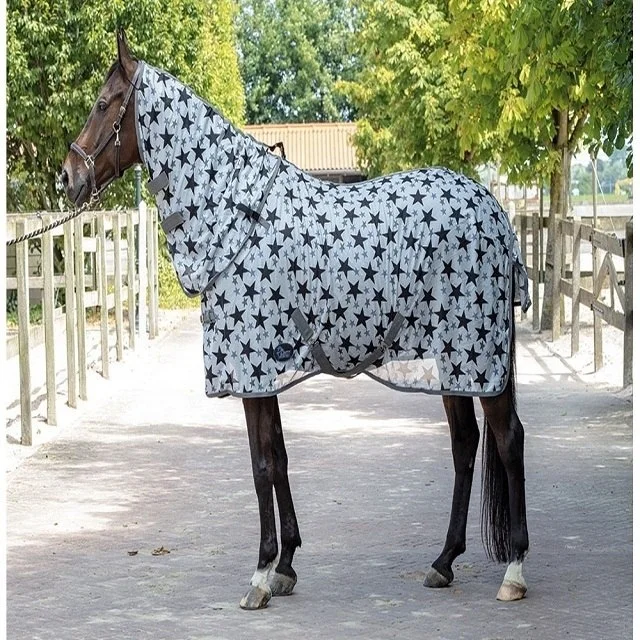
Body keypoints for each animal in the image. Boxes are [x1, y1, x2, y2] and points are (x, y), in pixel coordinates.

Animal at [61, 29, 530, 609]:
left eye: (103, 105)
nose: (67, 177)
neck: (235, 218)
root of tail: (494, 210)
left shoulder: (251, 374)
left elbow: (261, 465)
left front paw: (261, 574)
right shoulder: (266, 373)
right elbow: (279, 458)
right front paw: (285, 566)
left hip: (479, 356)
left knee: (508, 440)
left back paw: (514, 571)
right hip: (453, 361)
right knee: (465, 445)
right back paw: (443, 562)